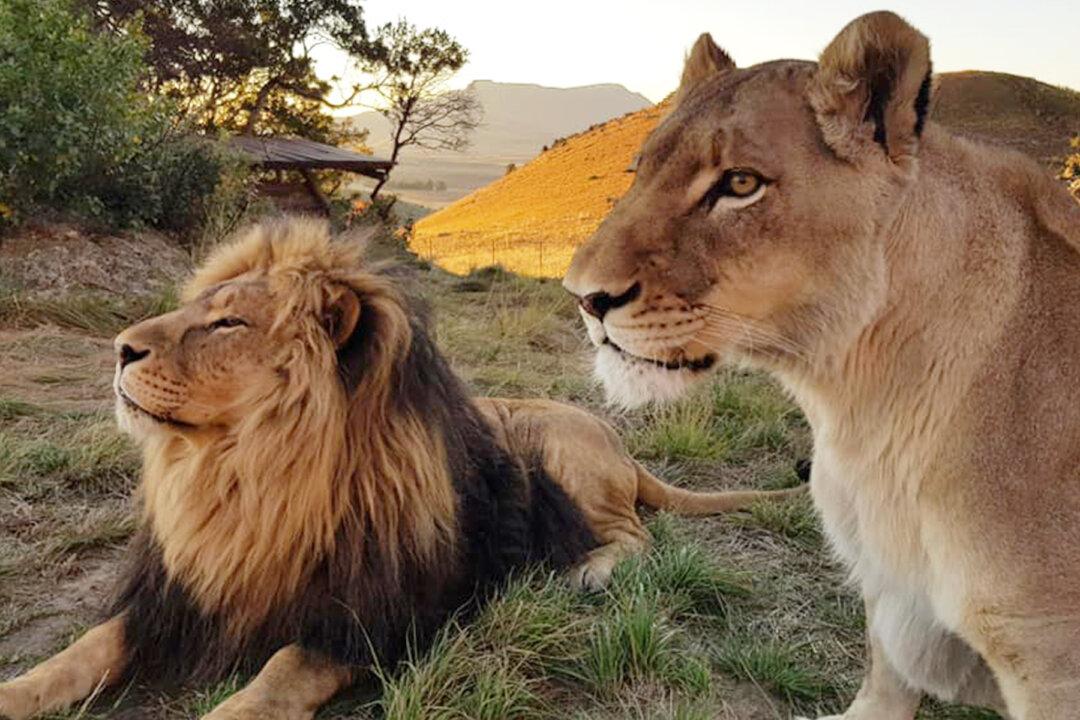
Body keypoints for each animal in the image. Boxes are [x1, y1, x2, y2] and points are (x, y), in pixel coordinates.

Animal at [0, 217, 802, 720]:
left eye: (228, 323)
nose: (119, 348)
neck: (246, 475)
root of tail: (623, 444)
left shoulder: (377, 615)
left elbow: (281, 672)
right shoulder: (177, 596)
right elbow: (84, 648)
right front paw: (16, 692)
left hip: (553, 441)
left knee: (635, 534)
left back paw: (589, 571)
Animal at [563, 11, 1080, 720]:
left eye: (740, 184)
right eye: (639, 170)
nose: (583, 296)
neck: (860, 413)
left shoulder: (1050, 661)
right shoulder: (889, 601)